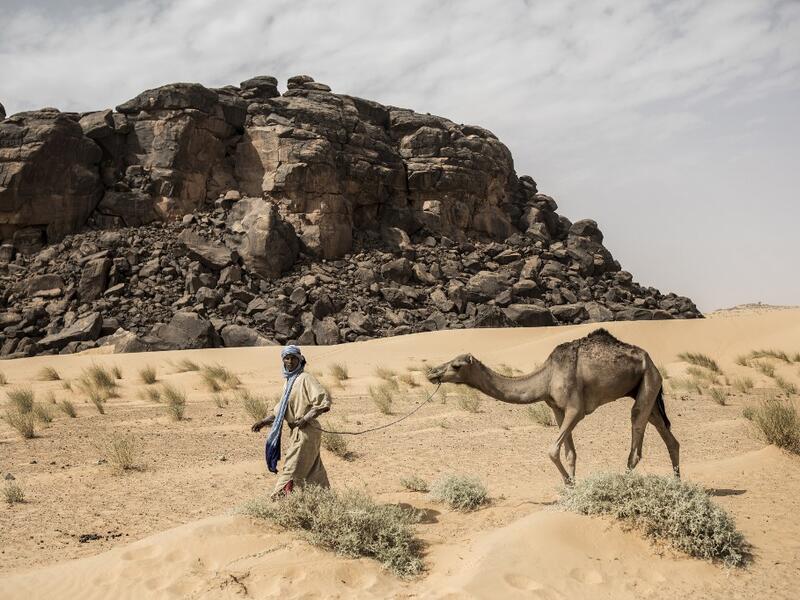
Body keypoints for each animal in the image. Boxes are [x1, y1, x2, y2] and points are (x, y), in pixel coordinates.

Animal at [426, 328, 679, 485]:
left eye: (456, 366)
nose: (432, 372)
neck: (546, 377)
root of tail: (651, 362)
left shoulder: (576, 410)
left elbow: (552, 450)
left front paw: (569, 484)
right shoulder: (557, 410)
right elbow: (570, 453)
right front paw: (572, 488)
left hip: (649, 379)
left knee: (636, 436)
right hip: (648, 392)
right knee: (668, 436)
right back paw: (677, 486)